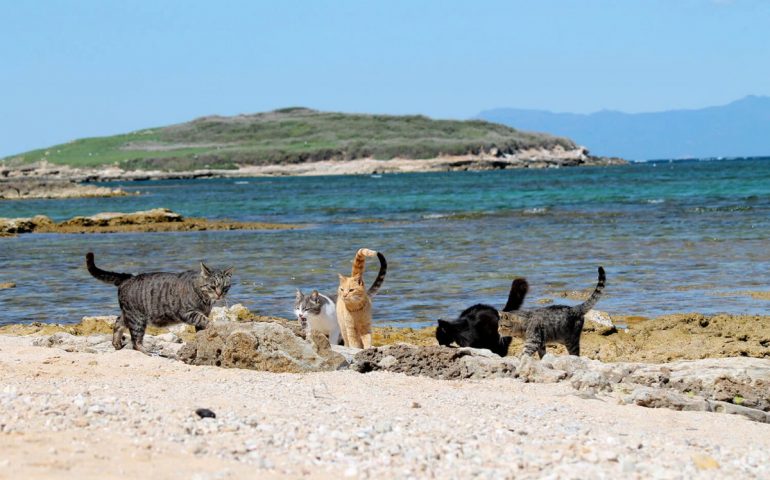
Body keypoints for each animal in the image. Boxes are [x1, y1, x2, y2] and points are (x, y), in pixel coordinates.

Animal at [86, 251, 232, 352]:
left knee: (117, 322)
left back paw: (116, 343)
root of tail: (128, 277)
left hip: (129, 314)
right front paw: (215, 326)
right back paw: (146, 351)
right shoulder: (187, 312)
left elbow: (201, 328)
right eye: (212, 286)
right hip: (137, 318)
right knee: (135, 341)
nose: (219, 294)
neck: (205, 299)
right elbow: (205, 320)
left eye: (225, 287)